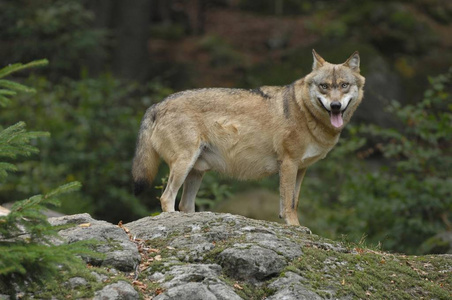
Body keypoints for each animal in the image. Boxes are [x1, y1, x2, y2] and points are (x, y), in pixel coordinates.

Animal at [132, 50, 366, 226]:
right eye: (324, 86)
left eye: (344, 85)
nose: (335, 106)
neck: (304, 112)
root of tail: (156, 105)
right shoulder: (288, 163)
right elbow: (288, 205)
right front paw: (295, 227)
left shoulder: (301, 168)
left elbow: (294, 201)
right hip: (184, 165)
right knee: (166, 198)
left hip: (196, 172)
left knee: (184, 205)